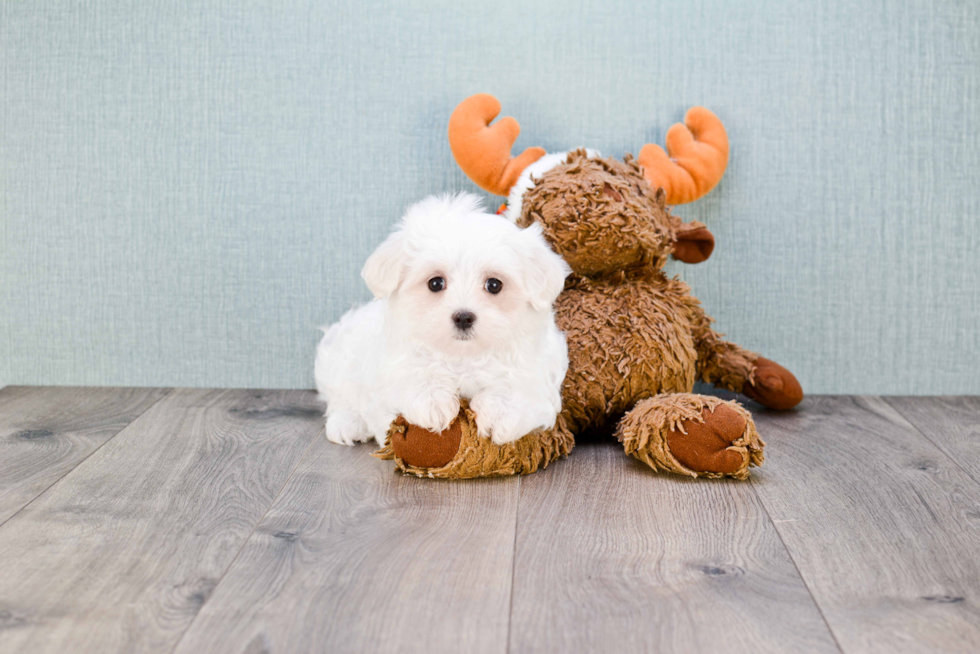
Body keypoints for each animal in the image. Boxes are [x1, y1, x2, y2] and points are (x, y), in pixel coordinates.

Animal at [314, 192, 576, 448]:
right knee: (341, 397)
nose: (463, 317)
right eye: (435, 283)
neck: (463, 356)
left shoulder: (536, 372)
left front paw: (498, 413)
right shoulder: (393, 364)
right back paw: (348, 423)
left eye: (494, 285)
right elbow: (412, 374)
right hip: (338, 357)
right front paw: (433, 402)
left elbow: (517, 386)